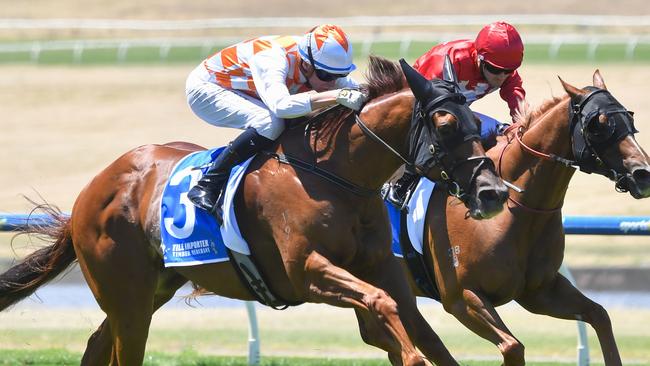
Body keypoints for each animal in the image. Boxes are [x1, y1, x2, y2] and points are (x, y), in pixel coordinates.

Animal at [0, 55, 506, 364]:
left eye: (476, 120)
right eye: (445, 123)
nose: (492, 192)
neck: (337, 175)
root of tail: (92, 189)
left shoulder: (383, 266)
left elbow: (420, 329)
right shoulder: (306, 271)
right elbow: (384, 309)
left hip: (151, 289)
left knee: (97, 343)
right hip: (127, 295)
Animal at [400, 70, 648, 364]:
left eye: (629, 119)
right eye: (598, 125)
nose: (643, 173)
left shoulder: (540, 291)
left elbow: (599, 314)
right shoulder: (460, 297)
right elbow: (512, 346)